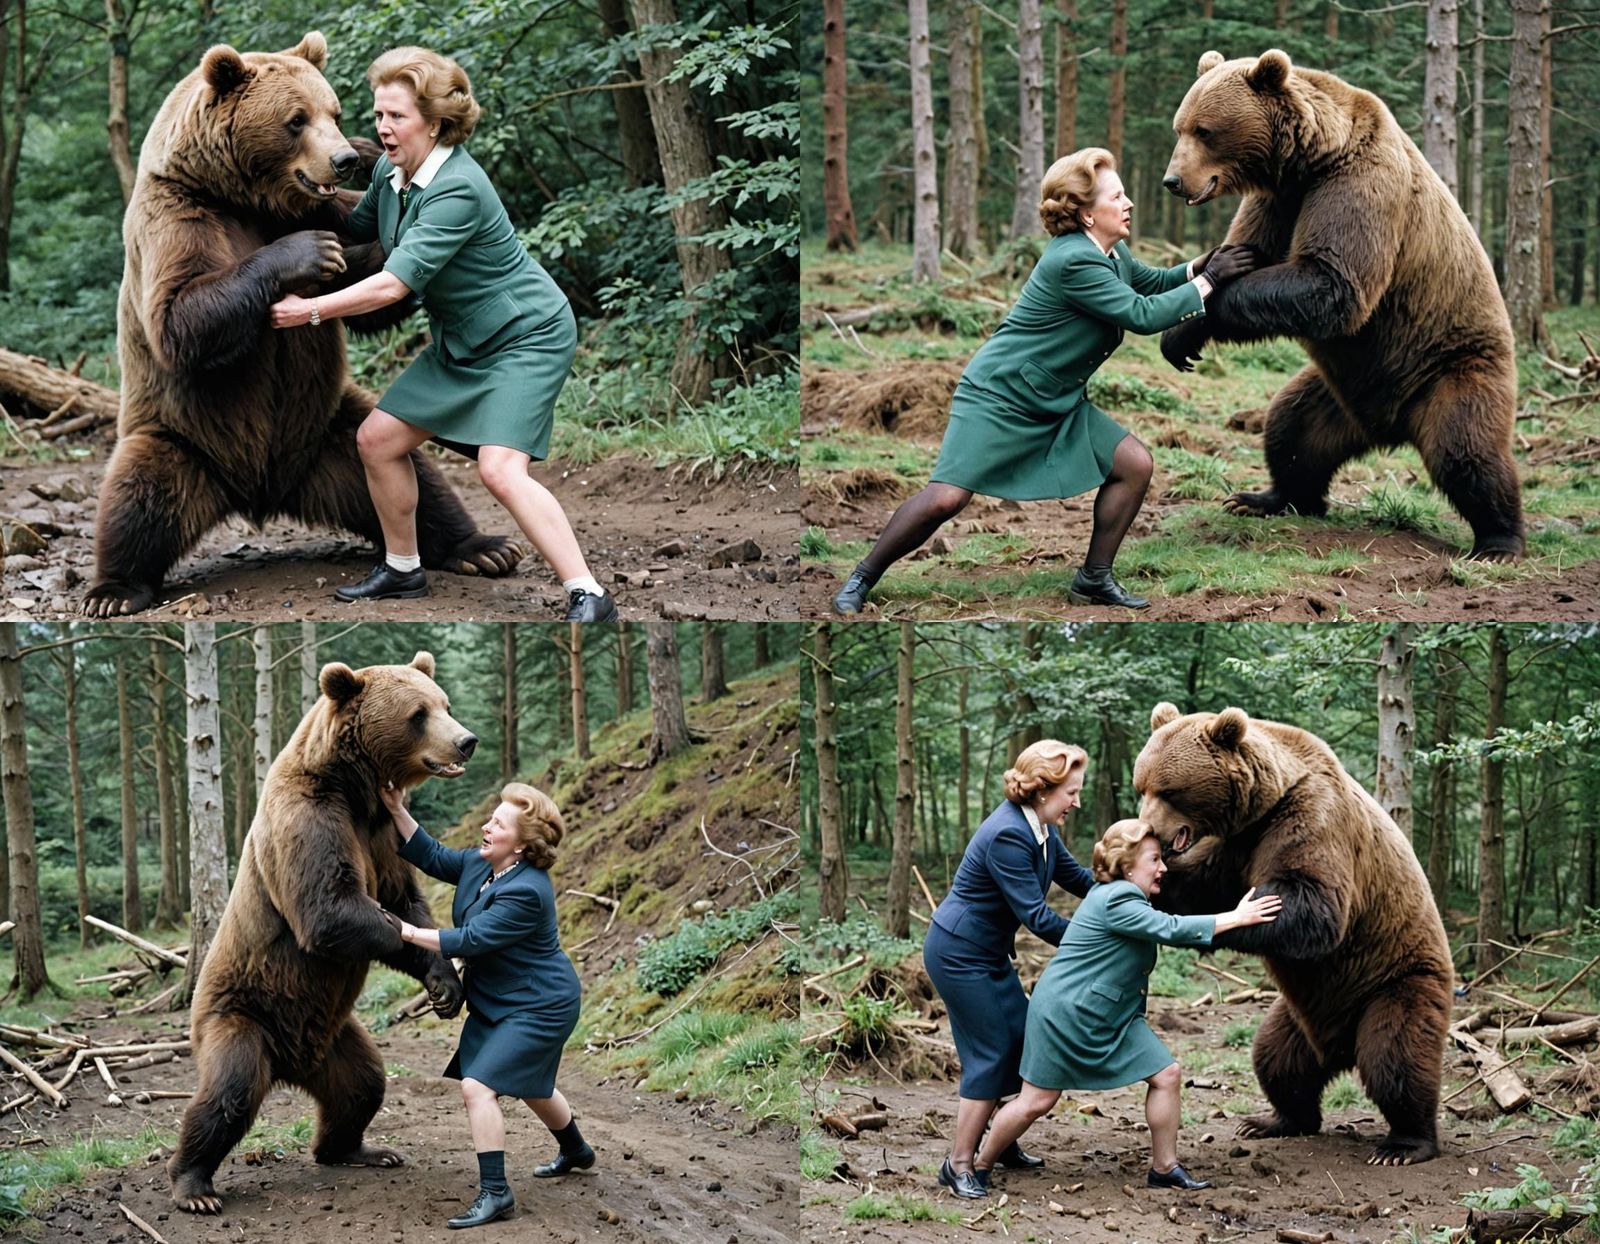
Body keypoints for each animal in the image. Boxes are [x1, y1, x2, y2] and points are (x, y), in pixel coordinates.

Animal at [83, 32, 521, 617]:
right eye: (295, 119)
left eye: (332, 111)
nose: (343, 159)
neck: (249, 198)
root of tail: (260, 493)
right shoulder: (180, 213)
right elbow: (179, 315)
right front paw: (308, 253)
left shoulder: (325, 209)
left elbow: (369, 294)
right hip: (179, 434)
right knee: (140, 493)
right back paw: (114, 590)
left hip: (329, 429)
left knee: (416, 481)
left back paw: (481, 546)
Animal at [168, 651, 473, 1214]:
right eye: (419, 713)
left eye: (444, 703)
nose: (466, 740)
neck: (356, 790)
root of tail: (290, 1063)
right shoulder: (309, 819)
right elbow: (330, 910)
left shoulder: (383, 835)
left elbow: (405, 898)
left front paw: (445, 985)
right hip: (242, 1013)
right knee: (228, 1091)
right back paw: (193, 1185)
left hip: (334, 1034)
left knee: (363, 1085)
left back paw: (360, 1149)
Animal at [1132, 702, 1453, 1165]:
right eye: (1142, 785)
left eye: (1170, 791)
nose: (1151, 831)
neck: (1269, 802)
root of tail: (1338, 1047)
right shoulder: (1241, 845)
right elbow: (1200, 887)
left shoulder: (1310, 819)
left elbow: (1313, 904)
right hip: (1299, 1013)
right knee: (1277, 1060)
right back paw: (1271, 1120)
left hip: (1396, 982)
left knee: (1395, 1058)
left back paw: (1405, 1143)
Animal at [1160, 50, 1524, 560]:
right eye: (1180, 127)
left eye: (1204, 130)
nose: (1172, 180)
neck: (1311, 159)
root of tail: (1392, 428)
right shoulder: (1281, 200)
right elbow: (1257, 251)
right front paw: (1190, 314)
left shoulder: (1359, 185)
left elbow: (1332, 284)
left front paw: (1191, 327)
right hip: (1337, 391)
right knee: (1291, 430)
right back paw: (1263, 497)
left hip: (1453, 367)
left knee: (1467, 451)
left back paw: (1498, 540)